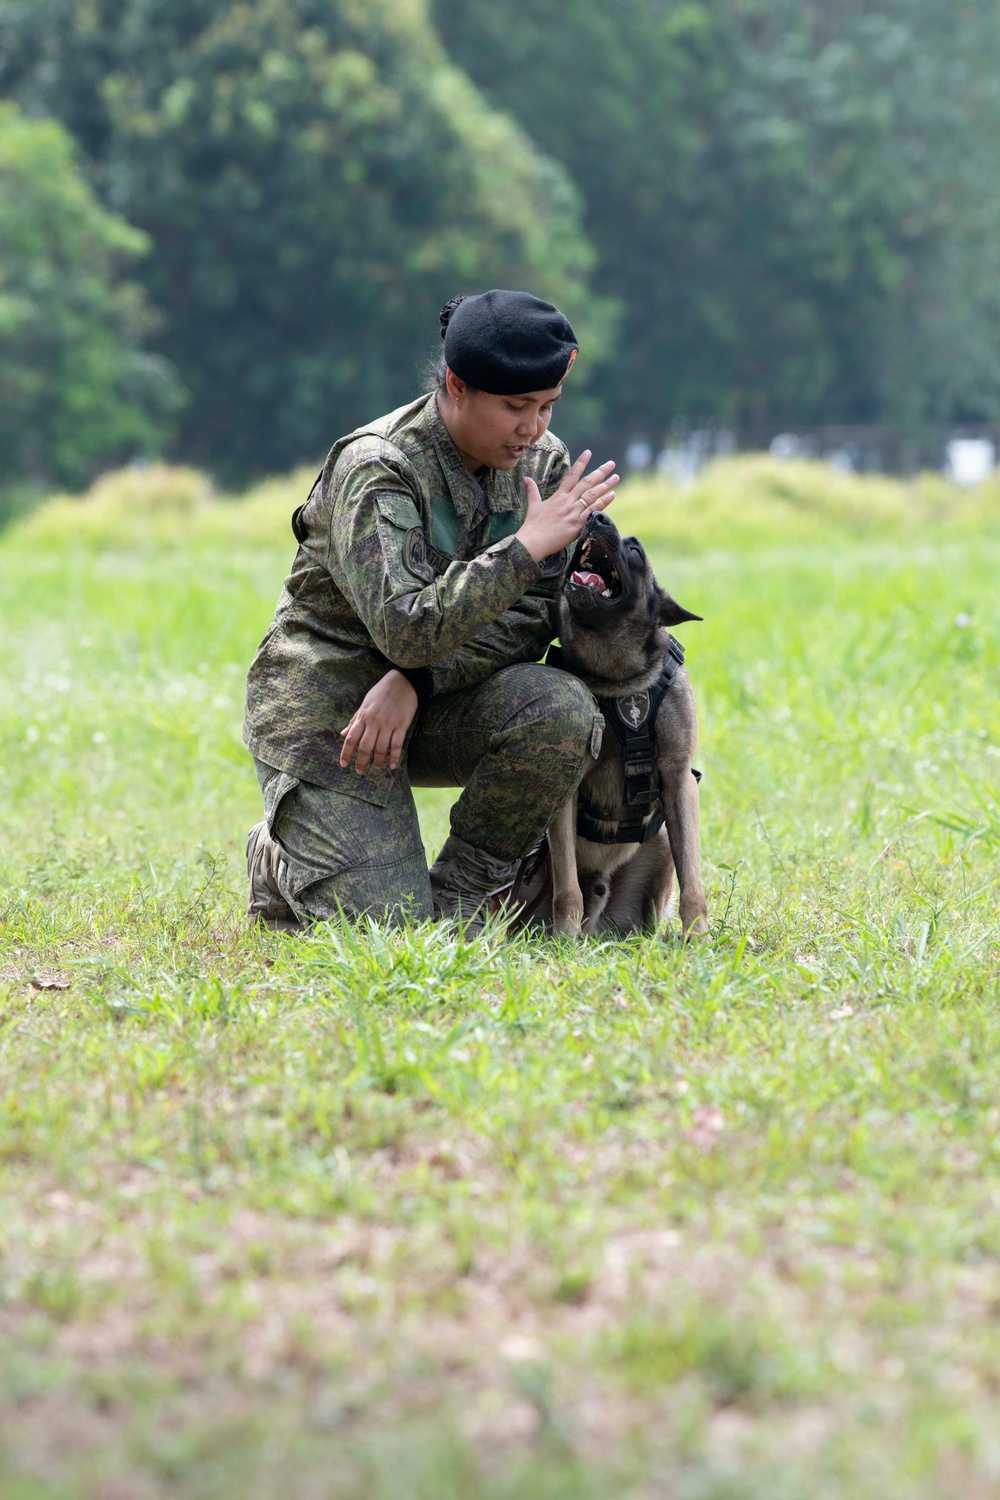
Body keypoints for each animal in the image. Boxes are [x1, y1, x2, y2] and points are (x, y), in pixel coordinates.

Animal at [515, 516, 710, 936]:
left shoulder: (679, 779)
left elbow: (693, 881)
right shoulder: (567, 798)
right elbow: (567, 888)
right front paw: (565, 939)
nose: (596, 517)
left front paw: (699, 937)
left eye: (635, 550)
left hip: (661, 843)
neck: (617, 678)